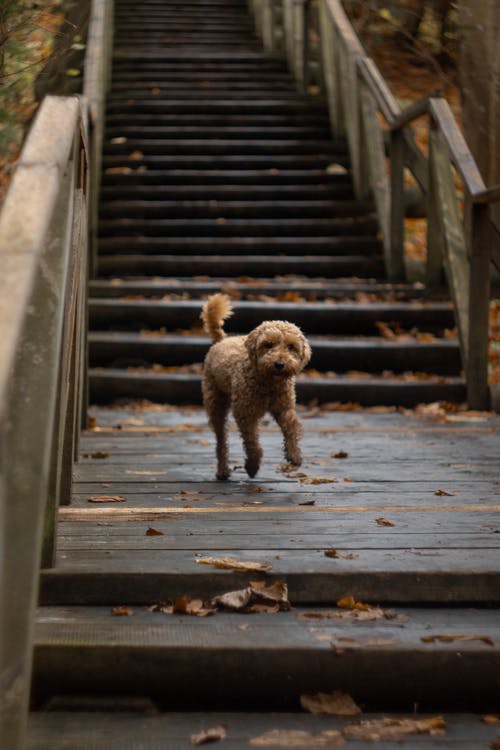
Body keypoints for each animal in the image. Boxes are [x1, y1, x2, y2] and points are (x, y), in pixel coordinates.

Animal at [200, 294, 310, 482]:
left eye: (291, 346)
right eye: (268, 344)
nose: (279, 364)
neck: (269, 383)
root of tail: (221, 340)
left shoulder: (284, 407)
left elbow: (291, 428)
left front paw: (294, 455)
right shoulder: (245, 413)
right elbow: (252, 443)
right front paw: (252, 466)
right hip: (215, 403)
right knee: (221, 440)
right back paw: (223, 470)